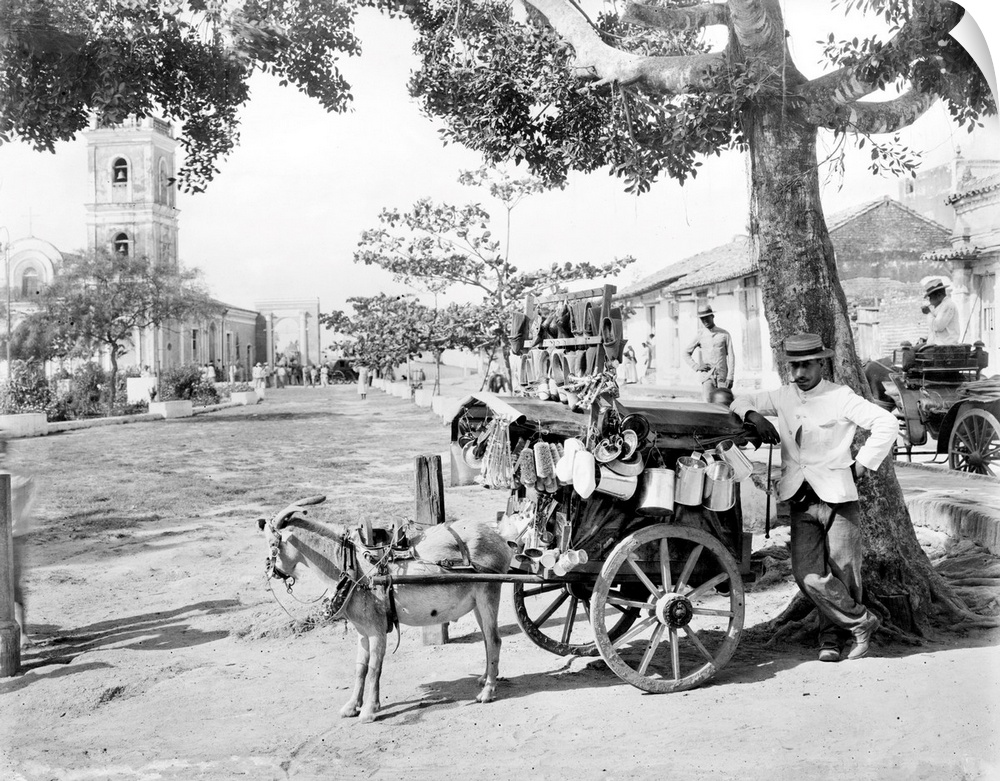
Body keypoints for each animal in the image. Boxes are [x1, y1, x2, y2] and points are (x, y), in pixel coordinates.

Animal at [258, 496, 512, 724]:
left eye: (273, 543)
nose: (273, 571)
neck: (353, 565)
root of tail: (500, 539)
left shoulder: (377, 629)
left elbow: (374, 668)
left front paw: (369, 711)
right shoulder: (362, 632)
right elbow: (360, 668)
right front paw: (352, 706)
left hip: (489, 592)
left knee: (494, 639)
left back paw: (487, 692)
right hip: (477, 602)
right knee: (487, 640)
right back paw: (484, 678)